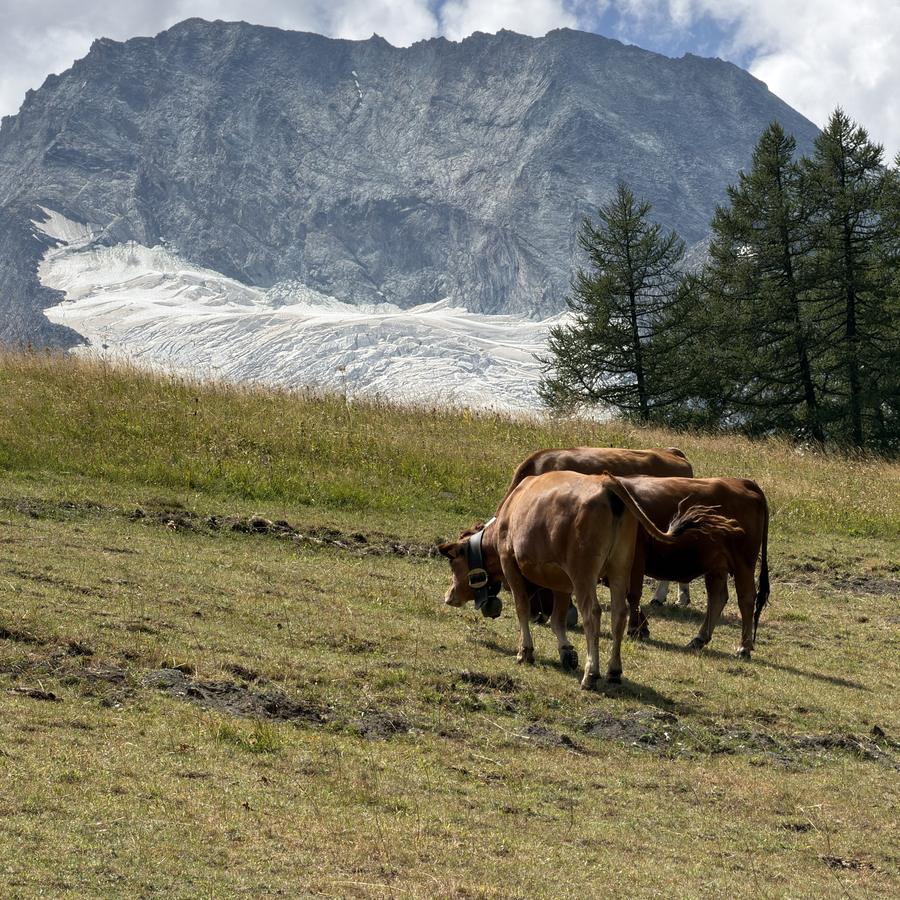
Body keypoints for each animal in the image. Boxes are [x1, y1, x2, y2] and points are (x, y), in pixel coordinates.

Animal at [439, 471, 743, 689]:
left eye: (454, 561)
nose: (448, 596)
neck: (509, 514)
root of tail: (606, 483)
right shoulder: (561, 582)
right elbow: (558, 619)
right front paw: (566, 652)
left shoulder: (511, 564)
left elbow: (523, 610)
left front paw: (525, 651)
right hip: (620, 568)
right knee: (619, 613)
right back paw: (614, 671)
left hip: (584, 573)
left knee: (593, 613)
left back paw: (591, 674)